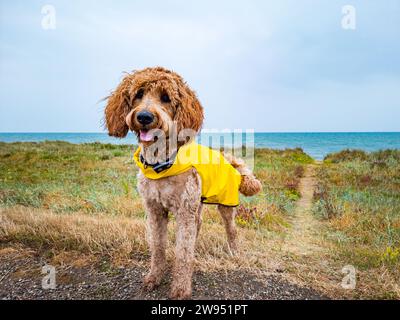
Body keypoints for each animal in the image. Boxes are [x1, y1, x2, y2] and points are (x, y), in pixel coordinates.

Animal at [104, 66, 262, 298]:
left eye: (166, 97)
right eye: (138, 94)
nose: (144, 116)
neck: (161, 165)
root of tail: (229, 160)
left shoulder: (184, 212)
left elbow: (183, 252)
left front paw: (180, 288)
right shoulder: (155, 211)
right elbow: (158, 247)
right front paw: (154, 277)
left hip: (224, 205)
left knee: (232, 230)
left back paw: (234, 252)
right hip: (198, 203)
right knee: (199, 224)